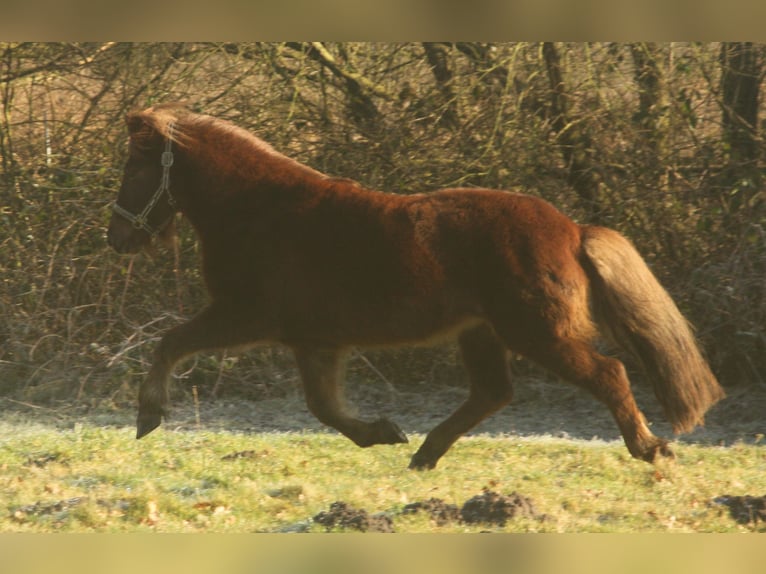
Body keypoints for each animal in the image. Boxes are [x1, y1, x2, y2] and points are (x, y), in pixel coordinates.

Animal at [108, 104, 728, 472]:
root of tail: (574, 231)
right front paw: (383, 433)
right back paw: (424, 456)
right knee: (492, 393)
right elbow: (324, 407)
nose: (118, 238)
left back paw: (651, 449)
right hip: (482, 332)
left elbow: (169, 342)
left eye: (135, 171)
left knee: (608, 373)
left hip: (536, 333)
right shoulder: (314, 340)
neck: (259, 212)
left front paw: (147, 417)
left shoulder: (246, 315)